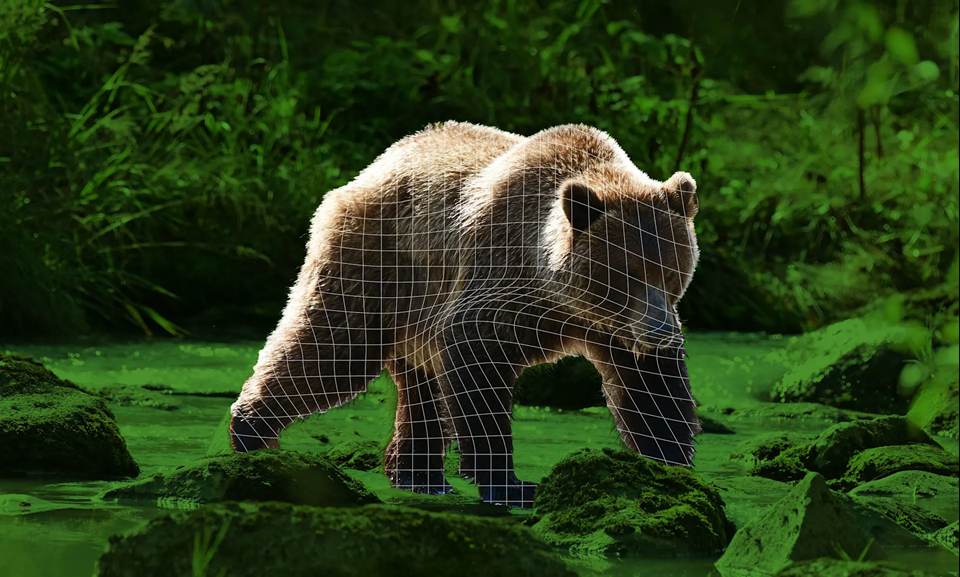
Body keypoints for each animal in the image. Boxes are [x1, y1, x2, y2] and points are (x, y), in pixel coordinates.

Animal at [229, 121, 701, 508]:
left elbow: (650, 389)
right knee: (332, 351)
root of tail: (373, 167)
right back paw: (250, 432)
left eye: (671, 270)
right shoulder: (501, 279)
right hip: (376, 263)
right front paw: (511, 484)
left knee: (417, 392)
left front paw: (670, 461)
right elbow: (476, 358)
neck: (561, 297)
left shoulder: (612, 327)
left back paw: (419, 476)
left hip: (413, 310)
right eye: (627, 273)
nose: (660, 330)